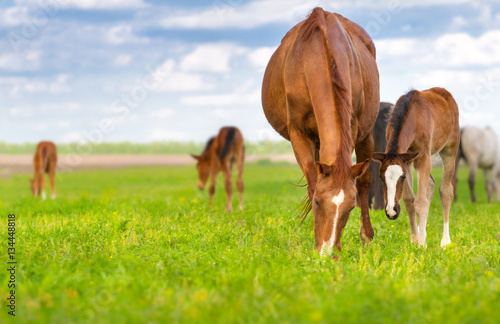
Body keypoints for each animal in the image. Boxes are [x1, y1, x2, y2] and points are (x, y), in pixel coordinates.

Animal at [262, 7, 378, 260]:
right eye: (317, 202)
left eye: (350, 207)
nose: (327, 252)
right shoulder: (299, 135)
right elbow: (312, 181)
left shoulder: (352, 128)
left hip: (366, 136)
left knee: (365, 181)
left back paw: (367, 238)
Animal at [374, 87, 458, 247]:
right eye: (381, 177)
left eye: (402, 177)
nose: (391, 211)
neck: (414, 118)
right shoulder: (407, 160)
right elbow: (409, 200)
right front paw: (415, 239)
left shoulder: (423, 157)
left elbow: (420, 202)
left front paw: (421, 245)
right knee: (430, 183)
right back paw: (422, 233)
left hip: (449, 149)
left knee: (446, 190)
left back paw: (445, 241)